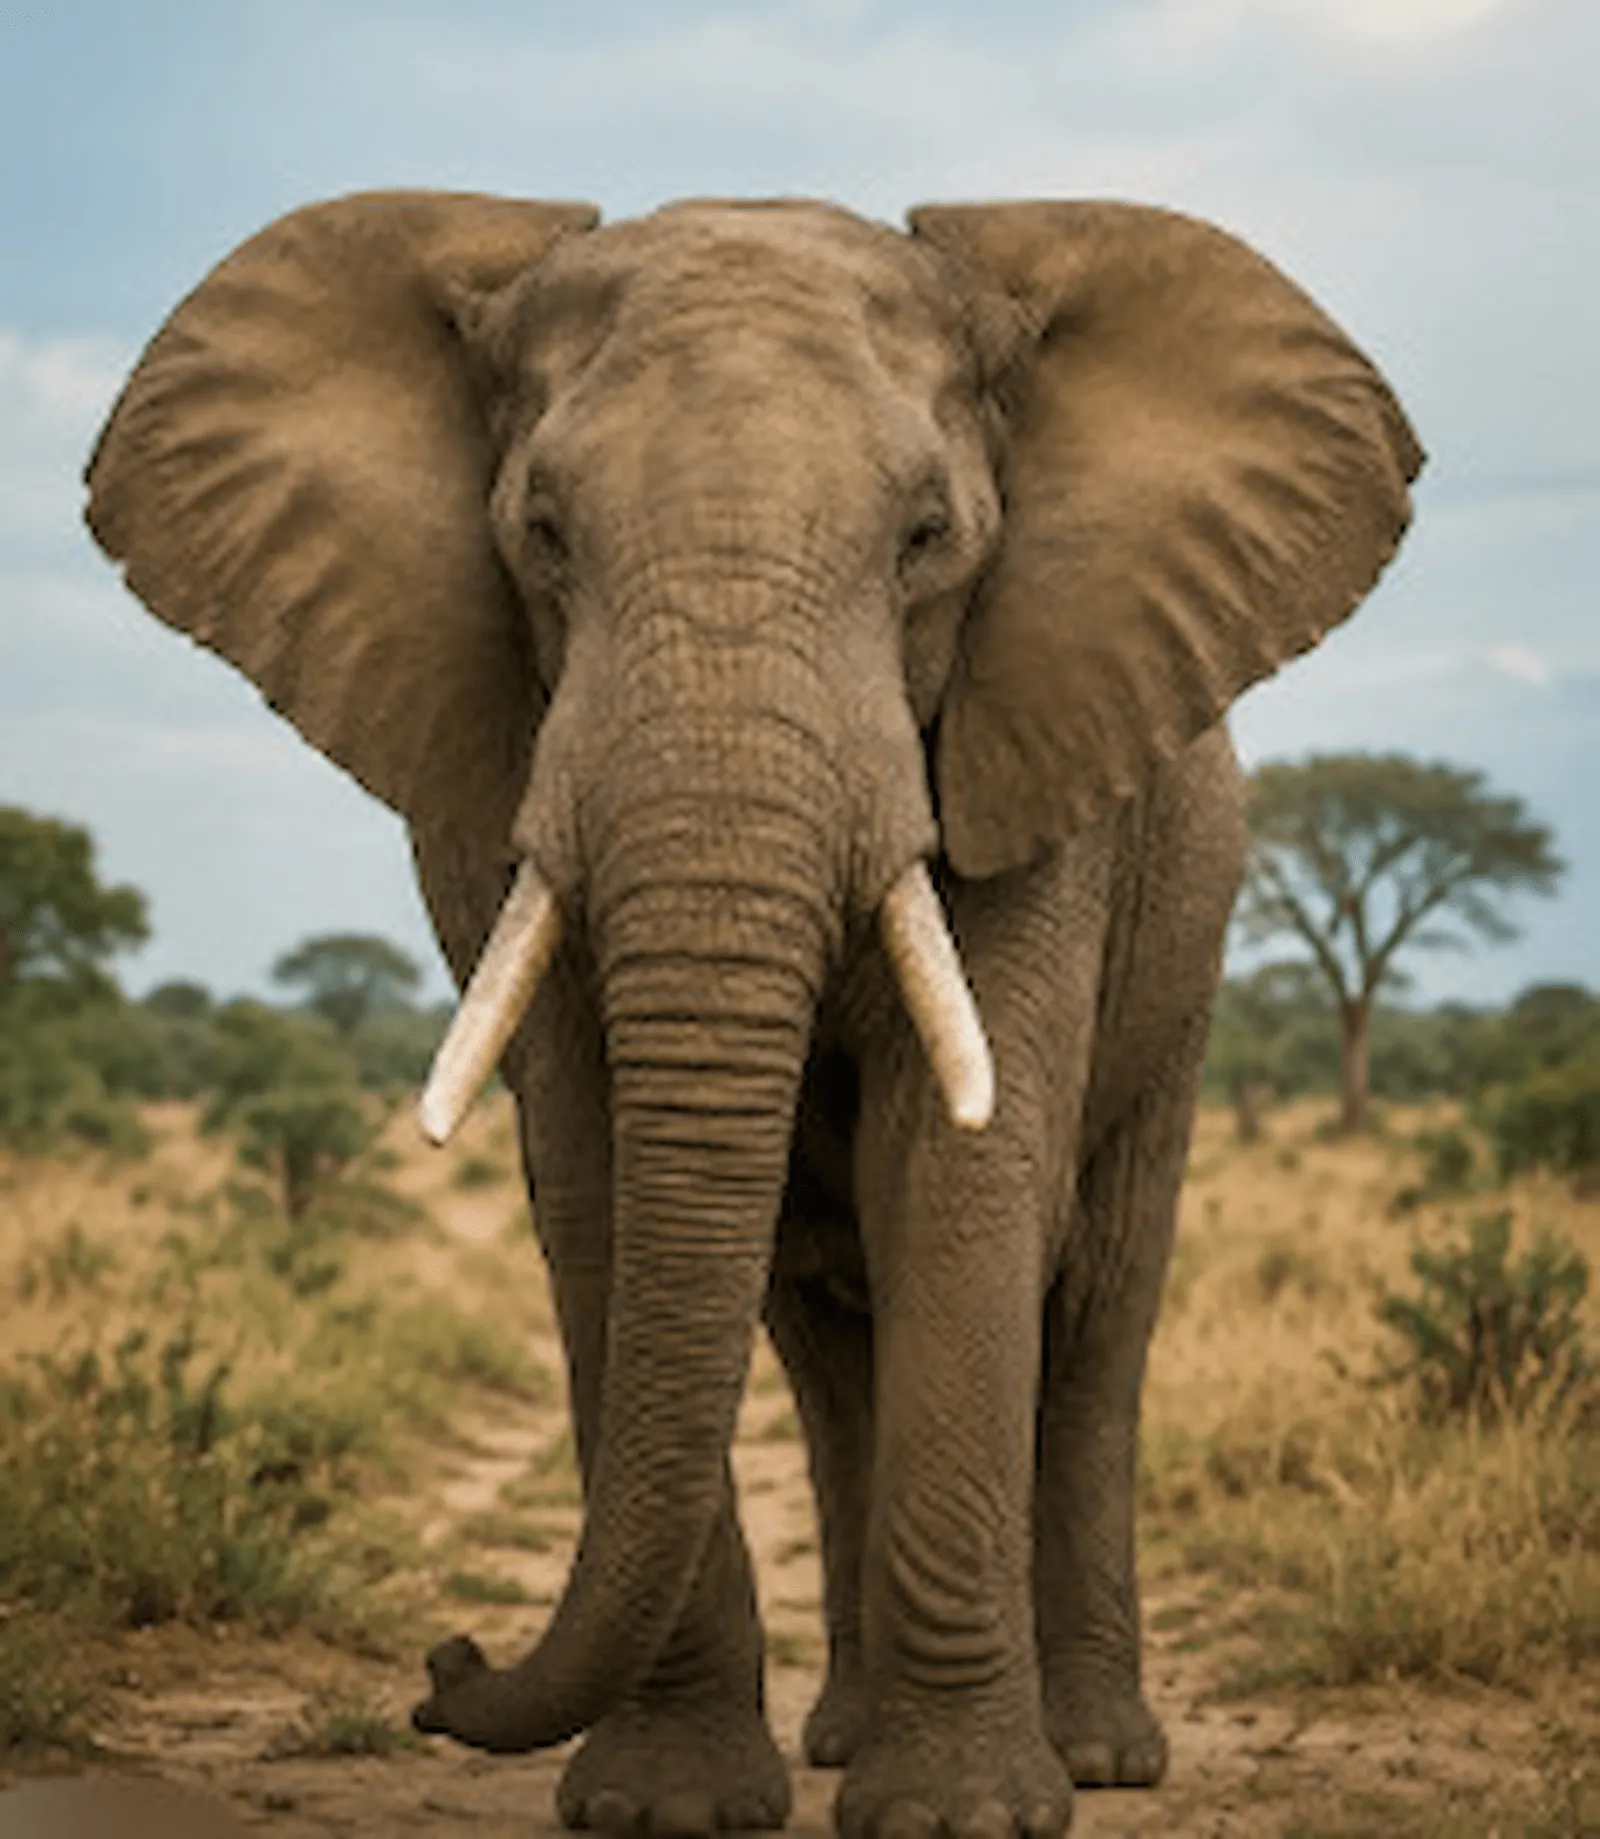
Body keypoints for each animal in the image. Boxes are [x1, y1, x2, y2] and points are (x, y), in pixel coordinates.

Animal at [85, 190, 1421, 1838]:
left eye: (927, 541)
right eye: (541, 536)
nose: (444, 1664)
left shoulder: (1034, 748)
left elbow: (962, 1186)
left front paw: (964, 1815)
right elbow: (596, 1187)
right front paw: (667, 1805)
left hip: (1190, 935)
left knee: (1098, 1308)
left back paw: (1101, 1751)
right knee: (823, 1335)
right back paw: (846, 1731)